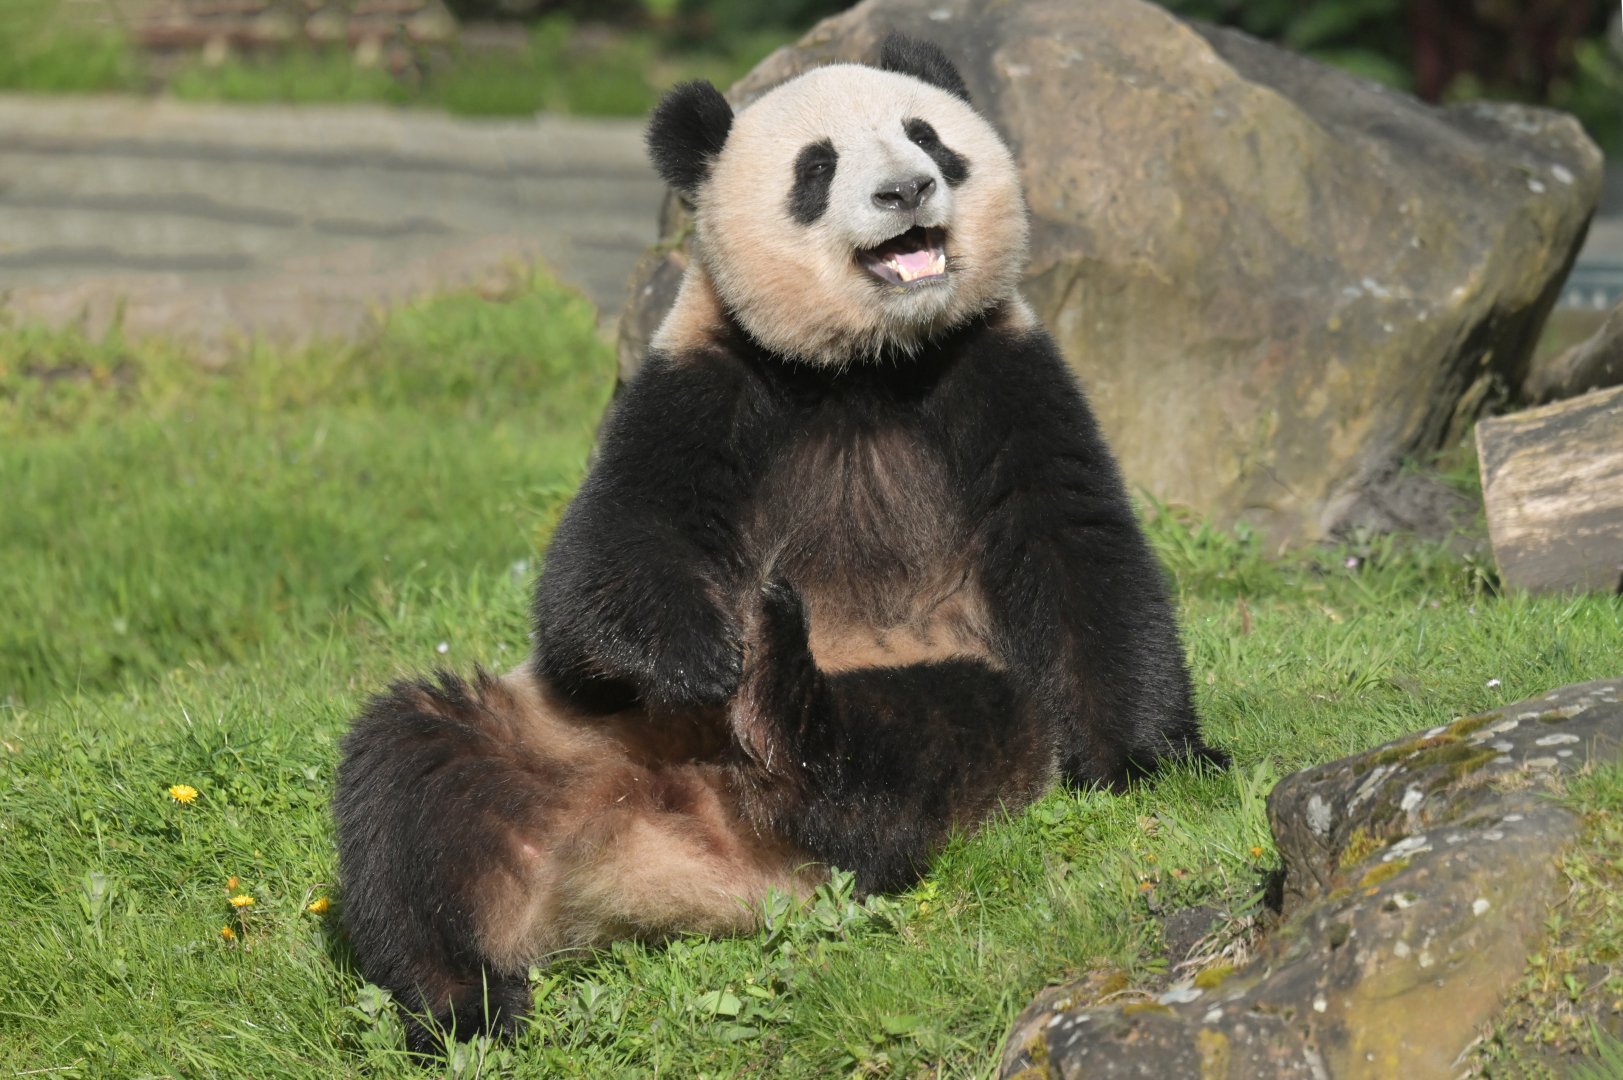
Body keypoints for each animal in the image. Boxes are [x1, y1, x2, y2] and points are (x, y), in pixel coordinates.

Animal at [334, 34, 1225, 1054]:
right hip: (551, 736)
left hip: (942, 705)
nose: (907, 190)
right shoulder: (704, 378)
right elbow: (599, 568)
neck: (866, 366)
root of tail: (669, 857)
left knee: (928, 738)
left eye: (929, 137)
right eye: (817, 167)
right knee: (414, 778)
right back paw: (463, 1001)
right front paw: (689, 655)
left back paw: (782, 691)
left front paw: (1153, 762)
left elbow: (1075, 550)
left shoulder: (996, 366)